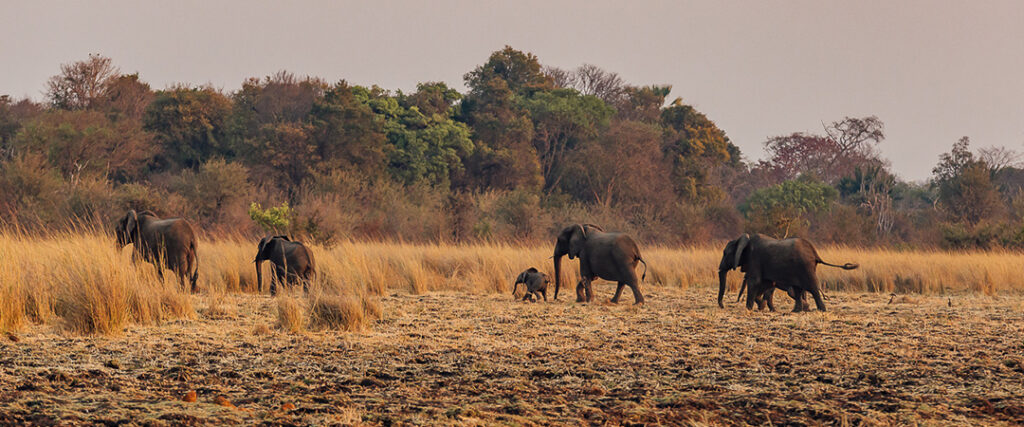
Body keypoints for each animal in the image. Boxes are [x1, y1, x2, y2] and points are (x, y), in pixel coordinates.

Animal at [717, 233, 857, 312]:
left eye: (725, 253)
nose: (723, 306)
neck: (744, 240)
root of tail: (815, 253)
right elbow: (765, 284)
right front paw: (761, 307)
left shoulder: (755, 259)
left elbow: (755, 282)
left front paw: (749, 309)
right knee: (798, 289)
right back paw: (796, 311)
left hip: (805, 267)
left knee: (812, 288)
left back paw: (821, 310)